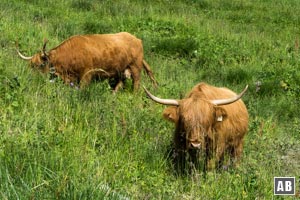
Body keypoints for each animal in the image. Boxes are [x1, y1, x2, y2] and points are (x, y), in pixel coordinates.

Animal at [16, 32, 158, 92]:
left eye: (40, 65)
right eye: (30, 65)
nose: (29, 79)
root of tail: (136, 39)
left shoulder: (87, 74)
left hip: (135, 67)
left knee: (136, 83)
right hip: (121, 69)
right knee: (120, 82)